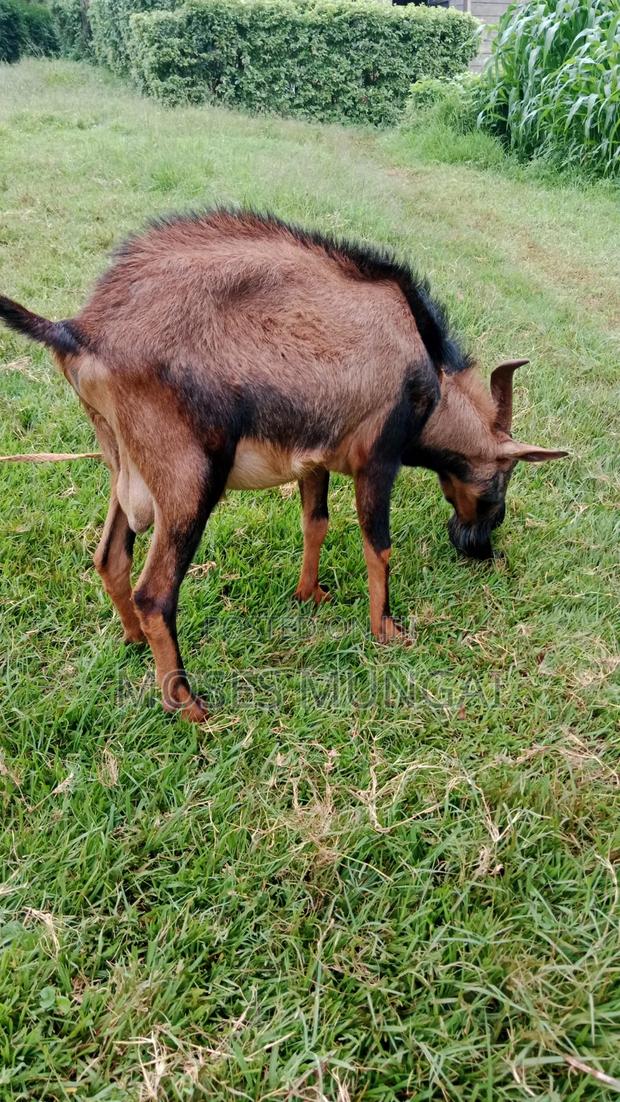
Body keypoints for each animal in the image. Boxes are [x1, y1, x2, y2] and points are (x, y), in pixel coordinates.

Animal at [0, 208, 568, 721]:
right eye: (500, 482)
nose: (479, 548)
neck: (423, 360)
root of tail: (79, 331)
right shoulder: (378, 456)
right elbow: (378, 546)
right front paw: (385, 629)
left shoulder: (314, 456)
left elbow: (316, 523)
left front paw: (309, 594)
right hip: (188, 480)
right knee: (155, 593)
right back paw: (188, 705)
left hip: (125, 467)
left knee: (110, 557)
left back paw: (135, 642)